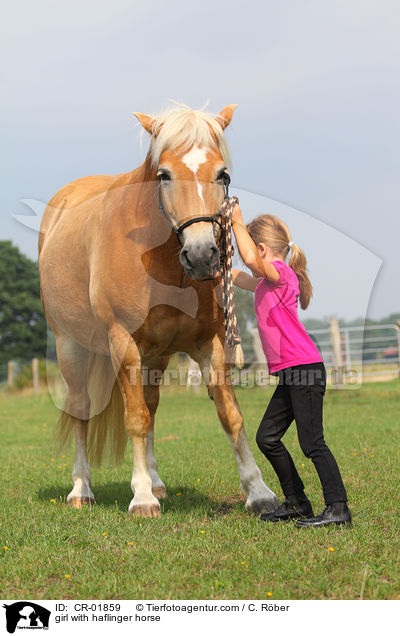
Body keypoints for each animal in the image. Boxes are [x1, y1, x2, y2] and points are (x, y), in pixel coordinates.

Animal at [39, 100, 278, 516]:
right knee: (83, 410)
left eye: (223, 174)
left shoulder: (209, 344)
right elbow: (135, 418)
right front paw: (142, 497)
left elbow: (230, 416)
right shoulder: (123, 344)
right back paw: (82, 488)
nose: (201, 255)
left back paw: (156, 481)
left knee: (151, 406)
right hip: (71, 347)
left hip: (156, 356)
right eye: (164, 175)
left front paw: (258, 491)